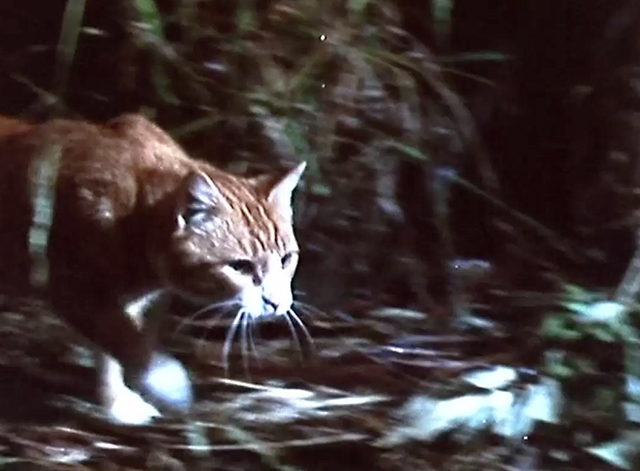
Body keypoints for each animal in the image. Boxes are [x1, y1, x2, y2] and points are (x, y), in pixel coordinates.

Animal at [0, 112, 306, 426]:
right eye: (239, 266)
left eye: (286, 259)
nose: (276, 303)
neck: (136, 219)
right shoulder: (70, 285)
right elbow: (125, 338)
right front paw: (163, 382)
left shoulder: (128, 300)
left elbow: (116, 349)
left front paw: (117, 402)